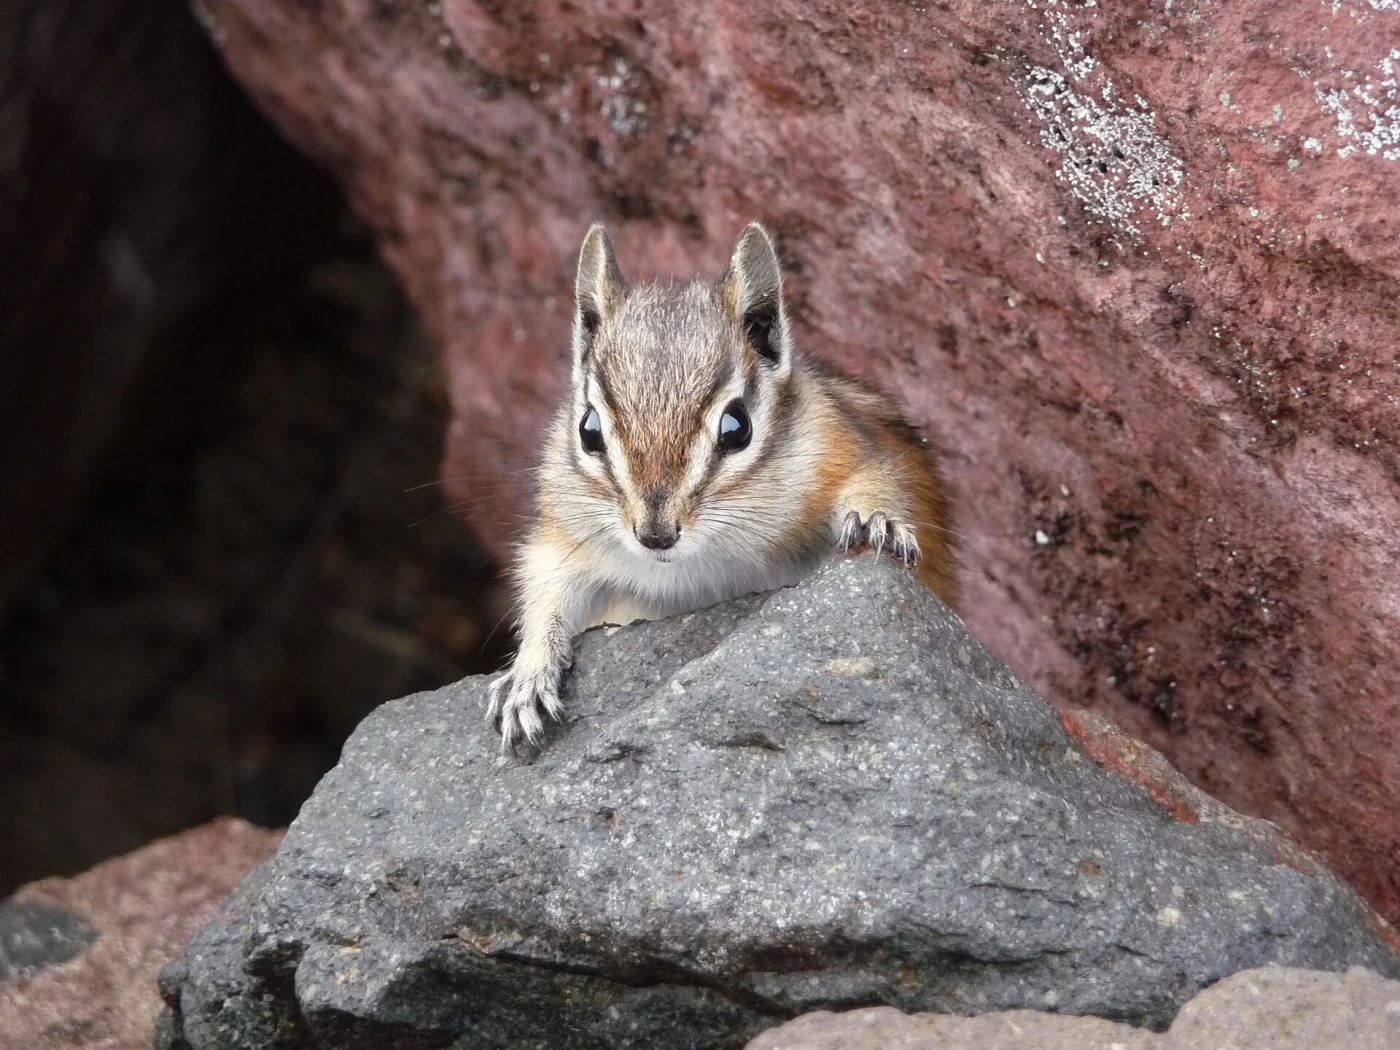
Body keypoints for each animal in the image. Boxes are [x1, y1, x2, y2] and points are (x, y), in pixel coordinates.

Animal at [487, 222, 956, 748]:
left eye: (737, 427)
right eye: (589, 430)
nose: (655, 535)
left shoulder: (840, 446)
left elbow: (874, 478)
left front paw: (877, 519)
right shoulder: (564, 533)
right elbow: (547, 590)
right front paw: (528, 677)